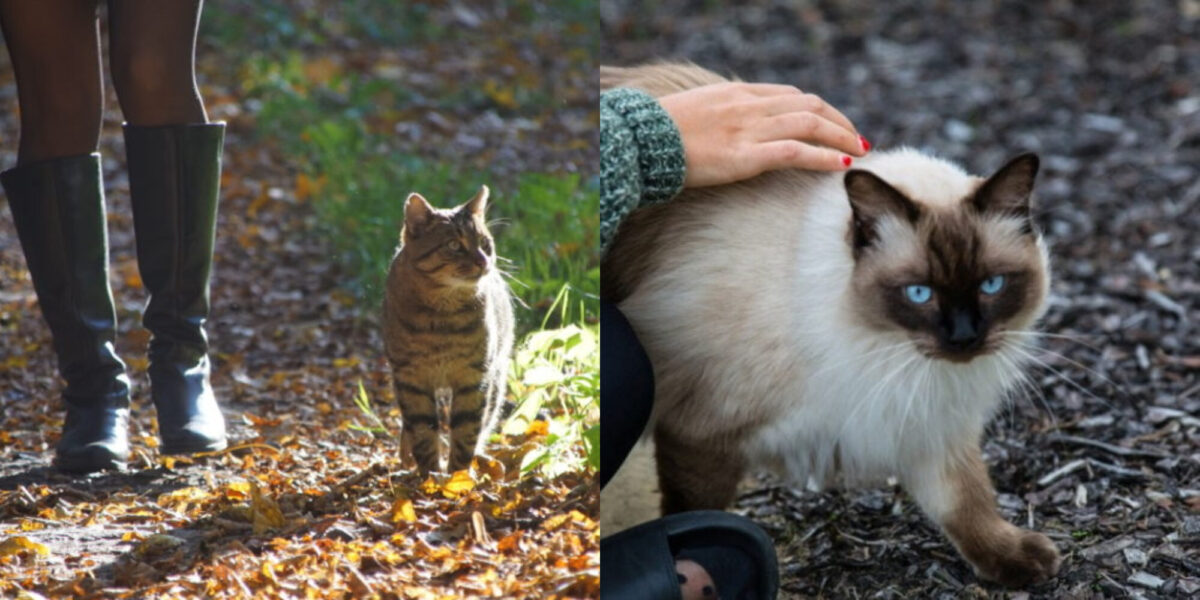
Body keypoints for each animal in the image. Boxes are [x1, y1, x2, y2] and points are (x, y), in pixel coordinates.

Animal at [381, 186, 513, 472]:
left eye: (485, 243)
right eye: (454, 245)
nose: (483, 261)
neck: (442, 315)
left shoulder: (474, 376)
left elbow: (466, 431)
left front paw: (457, 476)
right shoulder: (410, 377)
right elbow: (422, 430)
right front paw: (431, 474)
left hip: (496, 376)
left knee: (486, 420)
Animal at [604, 63, 1065, 588]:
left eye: (991, 284)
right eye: (919, 293)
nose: (964, 337)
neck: (886, 350)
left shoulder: (925, 426)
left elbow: (967, 504)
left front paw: (1018, 562)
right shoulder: (700, 433)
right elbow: (691, 509)